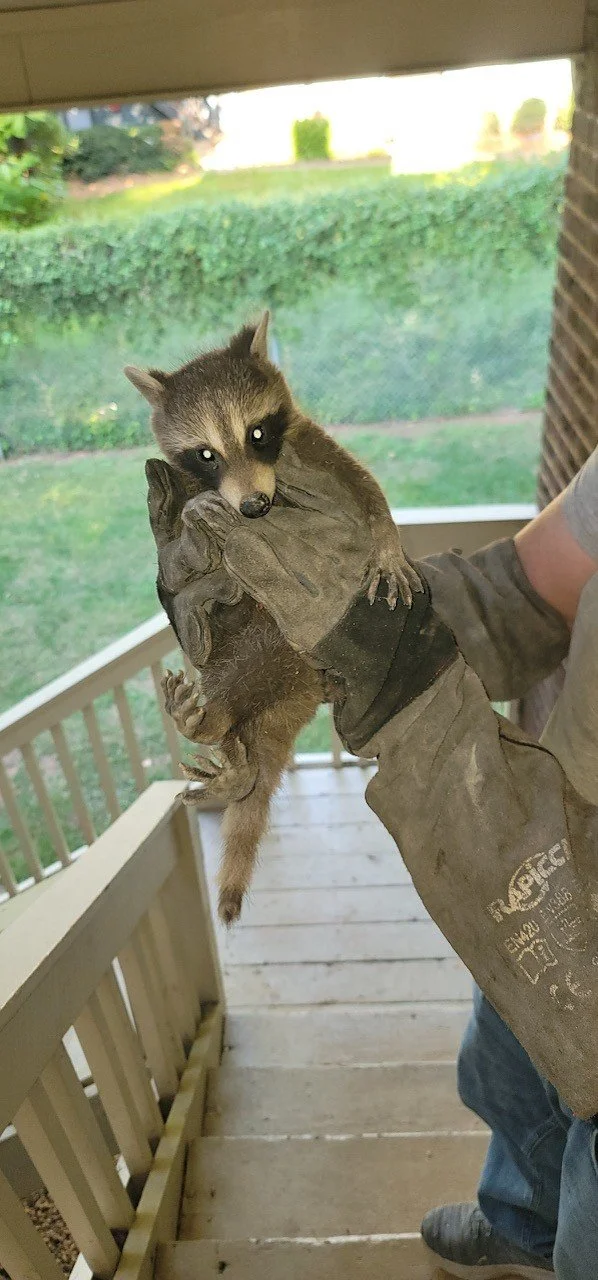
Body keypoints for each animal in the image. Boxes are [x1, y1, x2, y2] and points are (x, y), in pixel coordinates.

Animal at [125, 313, 419, 924]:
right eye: (205, 454)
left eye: (257, 434)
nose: (255, 508)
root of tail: (289, 700)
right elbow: (193, 549)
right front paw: (189, 541)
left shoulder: (312, 448)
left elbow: (364, 488)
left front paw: (386, 541)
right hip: (245, 655)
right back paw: (222, 747)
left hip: (286, 653)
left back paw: (217, 735)